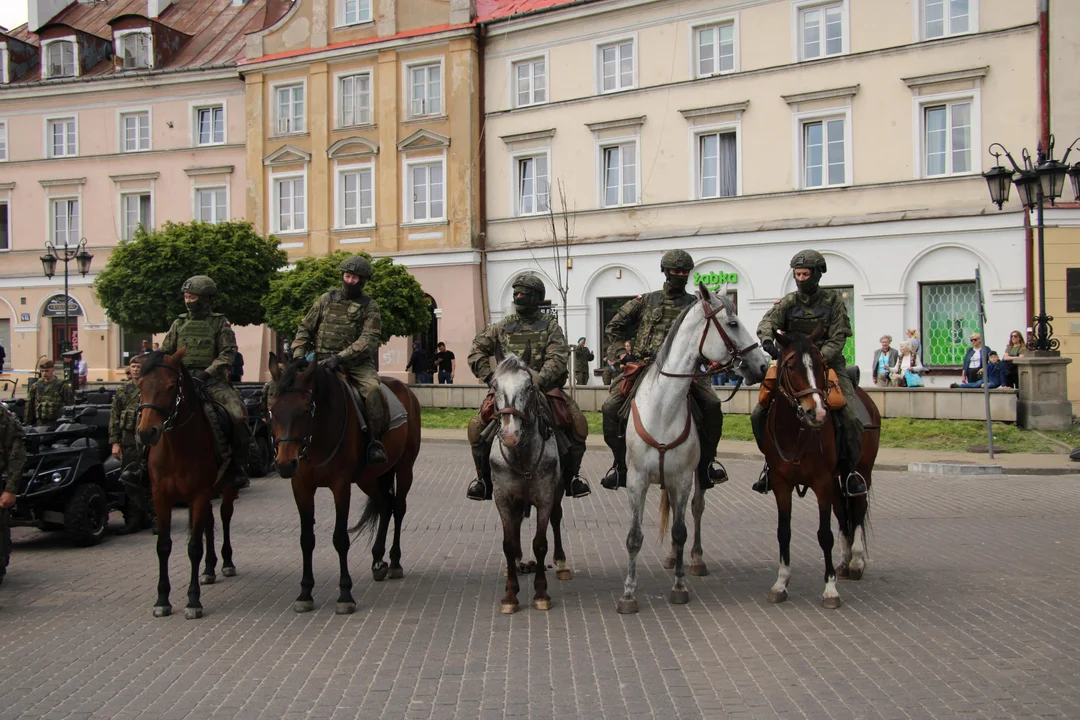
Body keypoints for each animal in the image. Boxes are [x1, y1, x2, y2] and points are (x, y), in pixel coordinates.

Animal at [136, 349, 237, 621]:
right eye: (140, 385)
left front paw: (193, 601)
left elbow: (193, 547)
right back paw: (209, 569)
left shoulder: (199, 493)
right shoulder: (160, 496)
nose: (147, 433)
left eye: (171, 386)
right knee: (208, 523)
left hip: (227, 488)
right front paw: (162, 600)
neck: (177, 446)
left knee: (224, 517)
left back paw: (226, 562)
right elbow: (163, 545)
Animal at [268, 354, 421, 613]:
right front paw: (305, 592)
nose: (285, 464)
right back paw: (378, 560)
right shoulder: (301, 487)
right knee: (385, 505)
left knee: (398, 508)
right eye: (273, 409)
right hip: (367, 477)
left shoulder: (341, 485)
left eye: (306, 409)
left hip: (404, 467)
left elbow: (340, 538)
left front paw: (345, 594)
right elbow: (306, 539)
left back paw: (394, 562)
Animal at [613, 280, 773, 613]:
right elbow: (634, 536)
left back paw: (695, 560)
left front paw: (679, 586)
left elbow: (680, 531)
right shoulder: (636, 480)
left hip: (696, 476)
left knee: (696, 511)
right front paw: (629, 593)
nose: (763, 365)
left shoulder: (684, 479)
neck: (663, 407)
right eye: (733, 323)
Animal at [756, 332, 881, 608]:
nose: (817, 412)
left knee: (858, 508)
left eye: (821, 365)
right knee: (842, 511)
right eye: (791, 366)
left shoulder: (822, 482)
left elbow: (825, 534)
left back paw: (856, 562)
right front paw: (781, 583)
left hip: (862, 472)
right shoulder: (781, 484)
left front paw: (830, 589)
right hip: (836, 481)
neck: (797, 433)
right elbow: (784, 532)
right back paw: (844, 562)